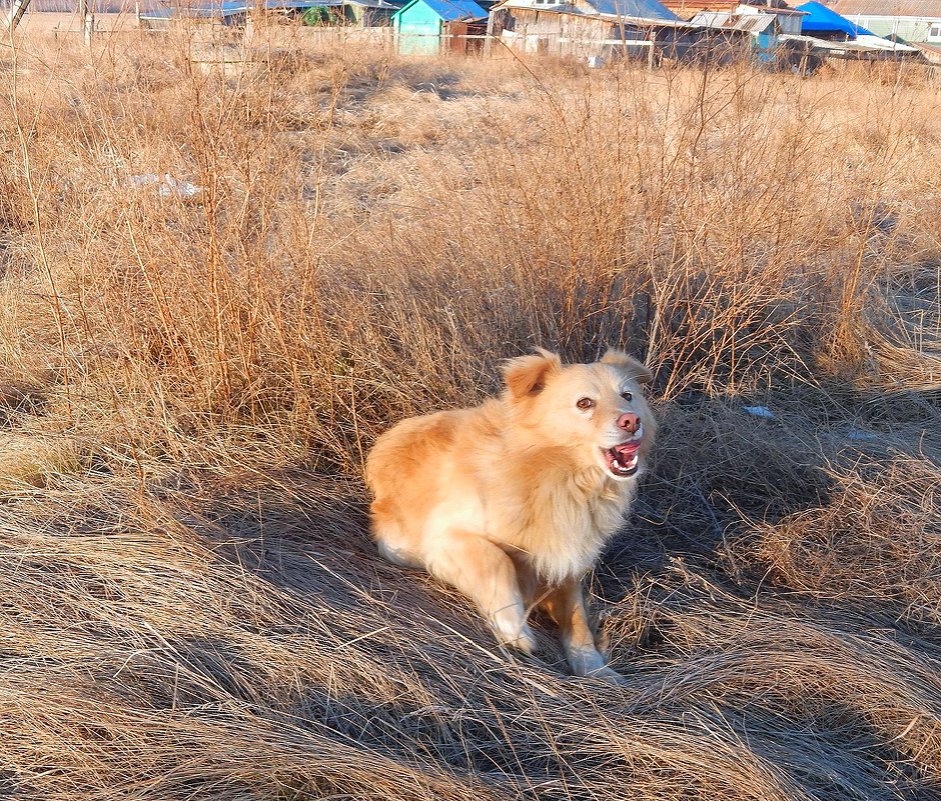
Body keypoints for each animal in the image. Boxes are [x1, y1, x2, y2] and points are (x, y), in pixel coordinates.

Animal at [364, 346, 656, 680]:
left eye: (627, 396)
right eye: (584, 403)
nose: (632, 421)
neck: (562, 478)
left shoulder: (568, 558)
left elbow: (577, 618)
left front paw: (593, 668)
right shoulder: (445, 536)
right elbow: (497, 562)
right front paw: (514, 629)